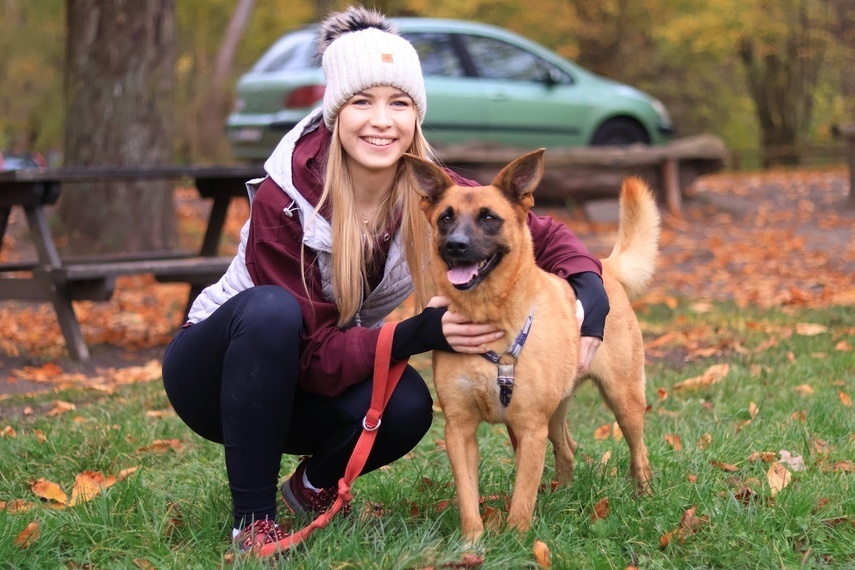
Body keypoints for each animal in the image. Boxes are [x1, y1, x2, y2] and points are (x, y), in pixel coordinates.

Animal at [404, 149, 660, 540]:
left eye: (489, 218)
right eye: (446, 217)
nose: (454, 246)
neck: (489, 319)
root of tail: (602, 267)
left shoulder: (529, 427)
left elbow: (523, 496)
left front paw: (516, 538)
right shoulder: (459, 429)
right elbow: (467, 497)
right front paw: (472, 541)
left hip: (623, 399)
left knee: (640, 451)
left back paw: (643, 495)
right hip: (554, 413)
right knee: (567, 449)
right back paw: (562, 496)